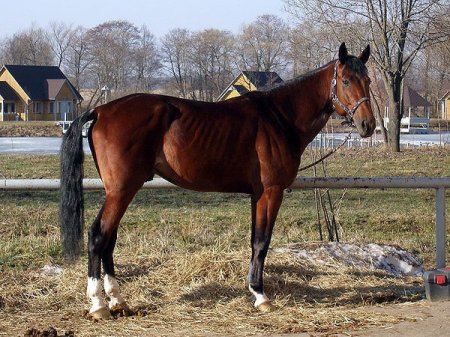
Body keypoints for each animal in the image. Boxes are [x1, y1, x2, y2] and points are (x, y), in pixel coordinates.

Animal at [60, 42, 376, 318]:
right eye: (346, 81)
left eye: (368, 80)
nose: (368, 125)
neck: (279, 117)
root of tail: (100, 110)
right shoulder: (271, 192)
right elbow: (262, 241)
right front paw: (261, 296)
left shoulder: (257, 194)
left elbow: (255, 241)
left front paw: (255, 291)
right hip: (121, 190)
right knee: (98, 236)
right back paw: (98, 305)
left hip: (120, 191)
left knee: (109, 239)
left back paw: (118, 301)